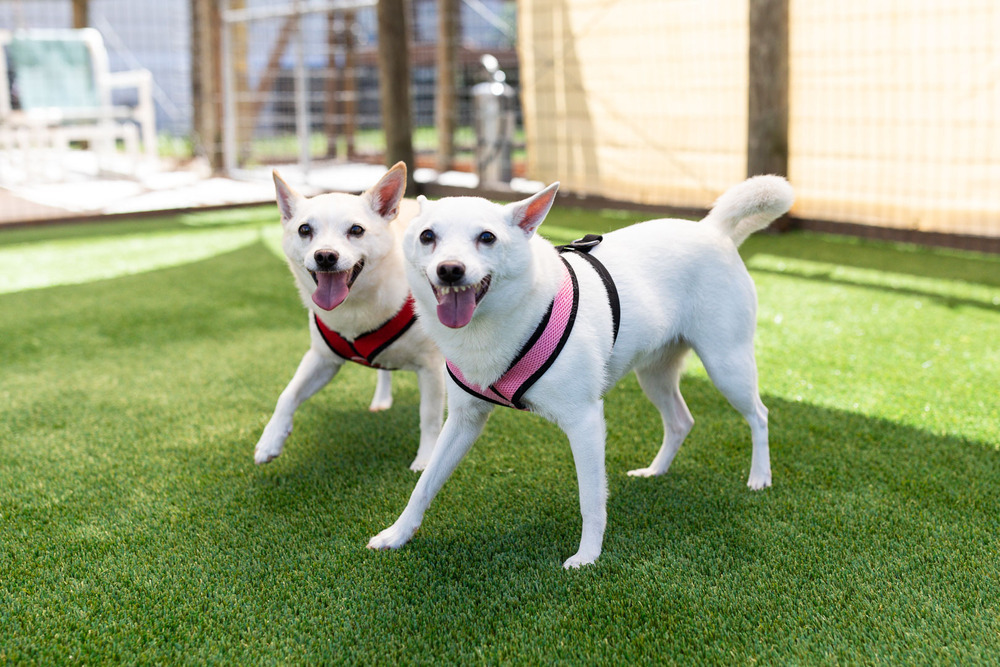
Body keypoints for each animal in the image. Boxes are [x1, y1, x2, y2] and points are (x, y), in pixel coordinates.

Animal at [254, 162, 446, 472]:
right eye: (304, 229)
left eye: (356, 230)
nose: (325, 256)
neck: (355, 306)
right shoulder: (322, 360)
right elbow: (287, 394)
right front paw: (270, 440)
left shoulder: (430, 367)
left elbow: (429, 417)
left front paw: (426, 459)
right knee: (383, 370)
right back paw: (381, 399)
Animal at [370, 175, 796, 568]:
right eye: (427, 236)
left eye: (487, 237)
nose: (450, 270)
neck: (498, 320)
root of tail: (712, 230)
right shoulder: (463, 421)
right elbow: (424, 484)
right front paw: (397, 533)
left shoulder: (585, 421)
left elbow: (590, 497)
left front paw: (588, 556)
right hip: (655, 375)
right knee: (681, 421)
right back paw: (655, 471)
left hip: (727, 365)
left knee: (759, 415)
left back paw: (760, 477)